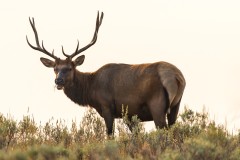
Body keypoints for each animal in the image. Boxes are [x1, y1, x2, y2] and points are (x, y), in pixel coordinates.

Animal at [26, 11, 186, 135]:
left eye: (70, 68)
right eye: (55, 69)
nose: (58, 81)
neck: (91, 90)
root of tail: (176, 77)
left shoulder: (107, 106)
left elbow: (109, 135)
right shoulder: (129, 115)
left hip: (157, 104)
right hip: (176, 105)